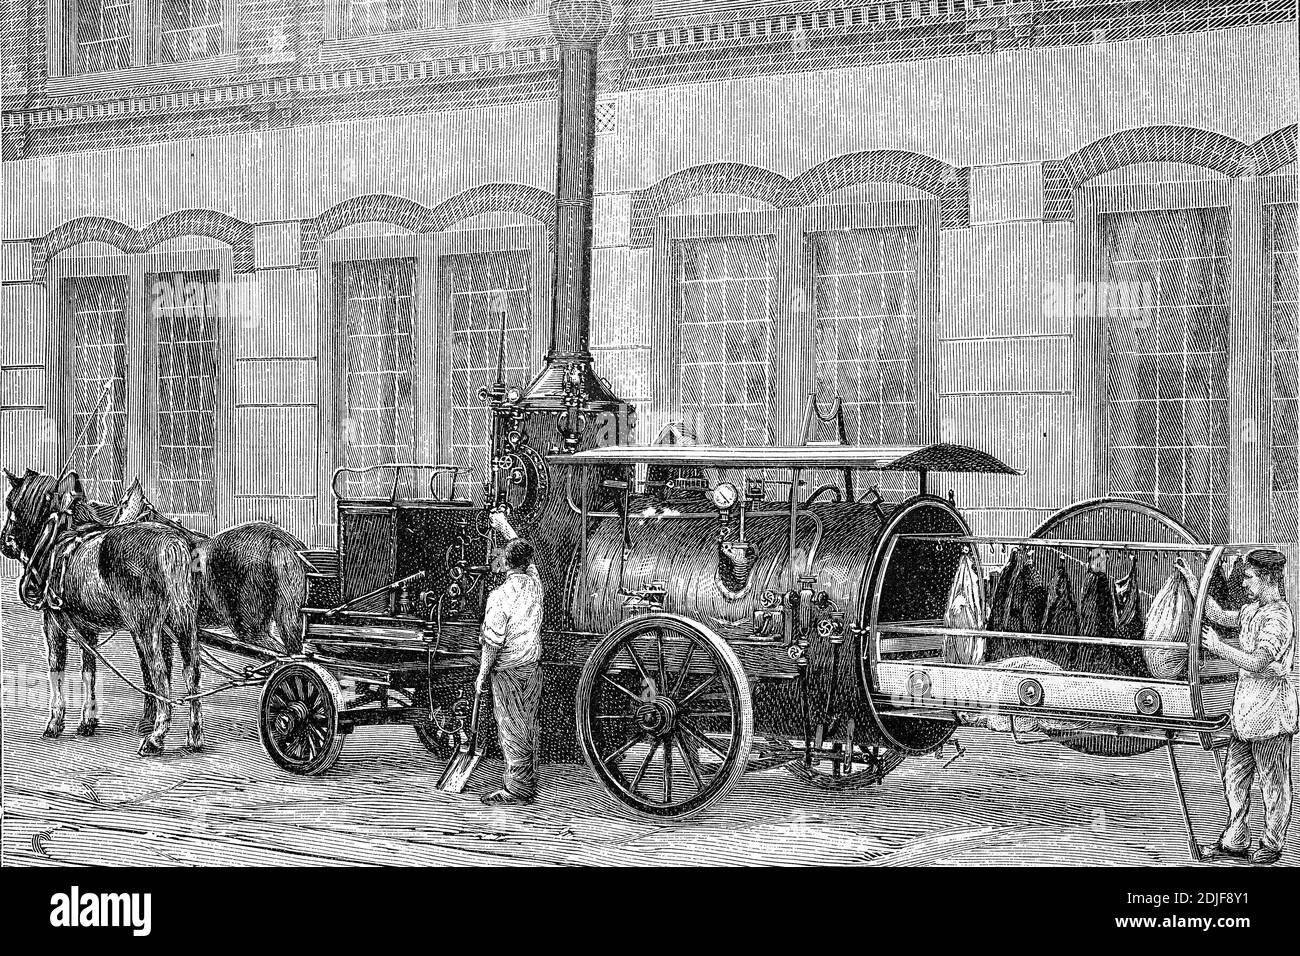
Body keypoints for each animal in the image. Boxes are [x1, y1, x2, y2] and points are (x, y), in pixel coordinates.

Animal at [1, 468, 200, 754]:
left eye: (12, 503)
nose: (5, 543)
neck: (59, 538)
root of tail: (172, 544)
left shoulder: (54, 622)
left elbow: (56, 668)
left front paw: (55, 723)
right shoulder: (86, 629)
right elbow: (89, 672)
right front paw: (87, 721)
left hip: (146, 628)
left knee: (159, 674)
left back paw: (156, 737)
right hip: (182, 624)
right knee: (191, 671)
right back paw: (194, 736)